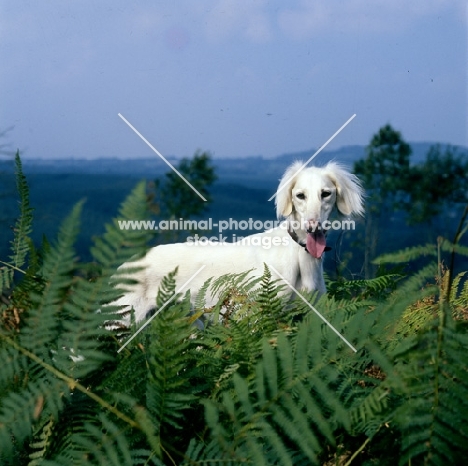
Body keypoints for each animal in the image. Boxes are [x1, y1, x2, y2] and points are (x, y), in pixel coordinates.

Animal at [114, 162, 366, 322]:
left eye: (326, 194)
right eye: (300, 195)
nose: (313, 227)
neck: (300, 255)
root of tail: (123, 266)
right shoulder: (256, 318)